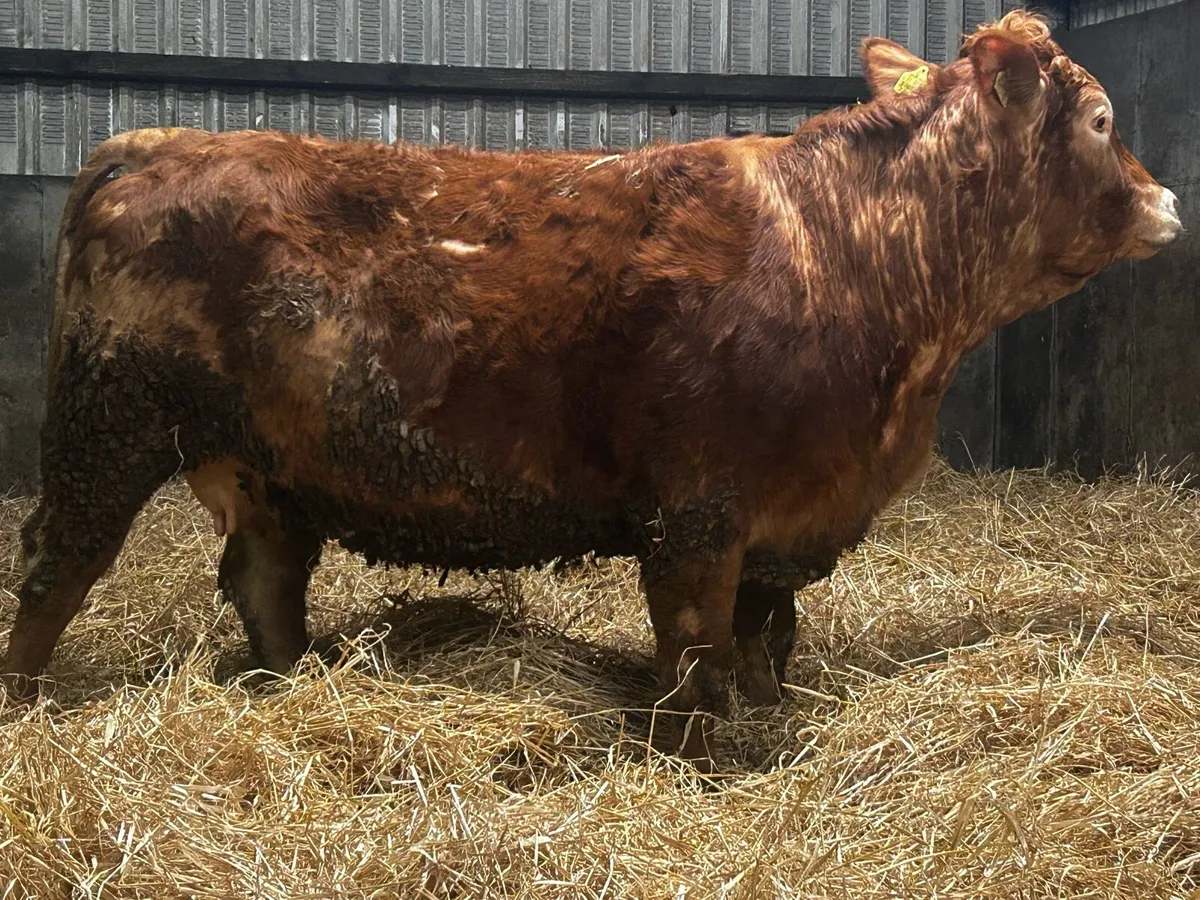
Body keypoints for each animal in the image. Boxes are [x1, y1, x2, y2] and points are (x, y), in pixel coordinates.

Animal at [3, 10, 1180, 770]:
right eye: (1103, 121)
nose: (1168, 199)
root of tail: (156, 142)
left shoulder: (786, 514)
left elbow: (769, 633)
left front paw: (764, 715)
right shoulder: (700, 509)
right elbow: (698, 641)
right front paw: (703, 754)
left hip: (262, 464)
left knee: (262, 577)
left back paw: (299, 686)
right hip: (109, 427)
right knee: (58, 566)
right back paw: (24, 701)